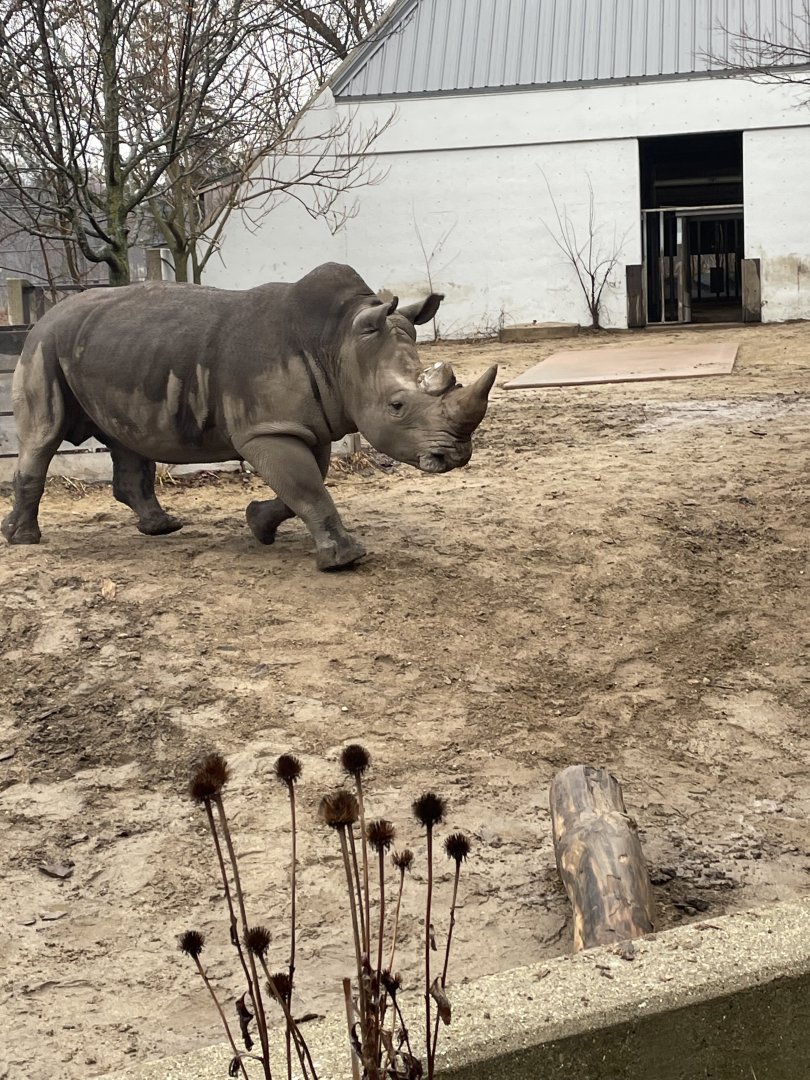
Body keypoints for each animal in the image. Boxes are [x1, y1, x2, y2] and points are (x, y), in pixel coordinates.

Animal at [2, 263, 496, 570]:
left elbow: (306, 482)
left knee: (124, 437)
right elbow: (307, 486)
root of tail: (47, 314)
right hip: (44, 345)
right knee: (43, 437)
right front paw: (345, 559)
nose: (457, 455)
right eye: (397, 406)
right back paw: (24, 540)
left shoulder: (302, 424)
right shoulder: (266, 429)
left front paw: (258, 524)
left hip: (112, 350)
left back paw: (162, 528)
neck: (338, 342)